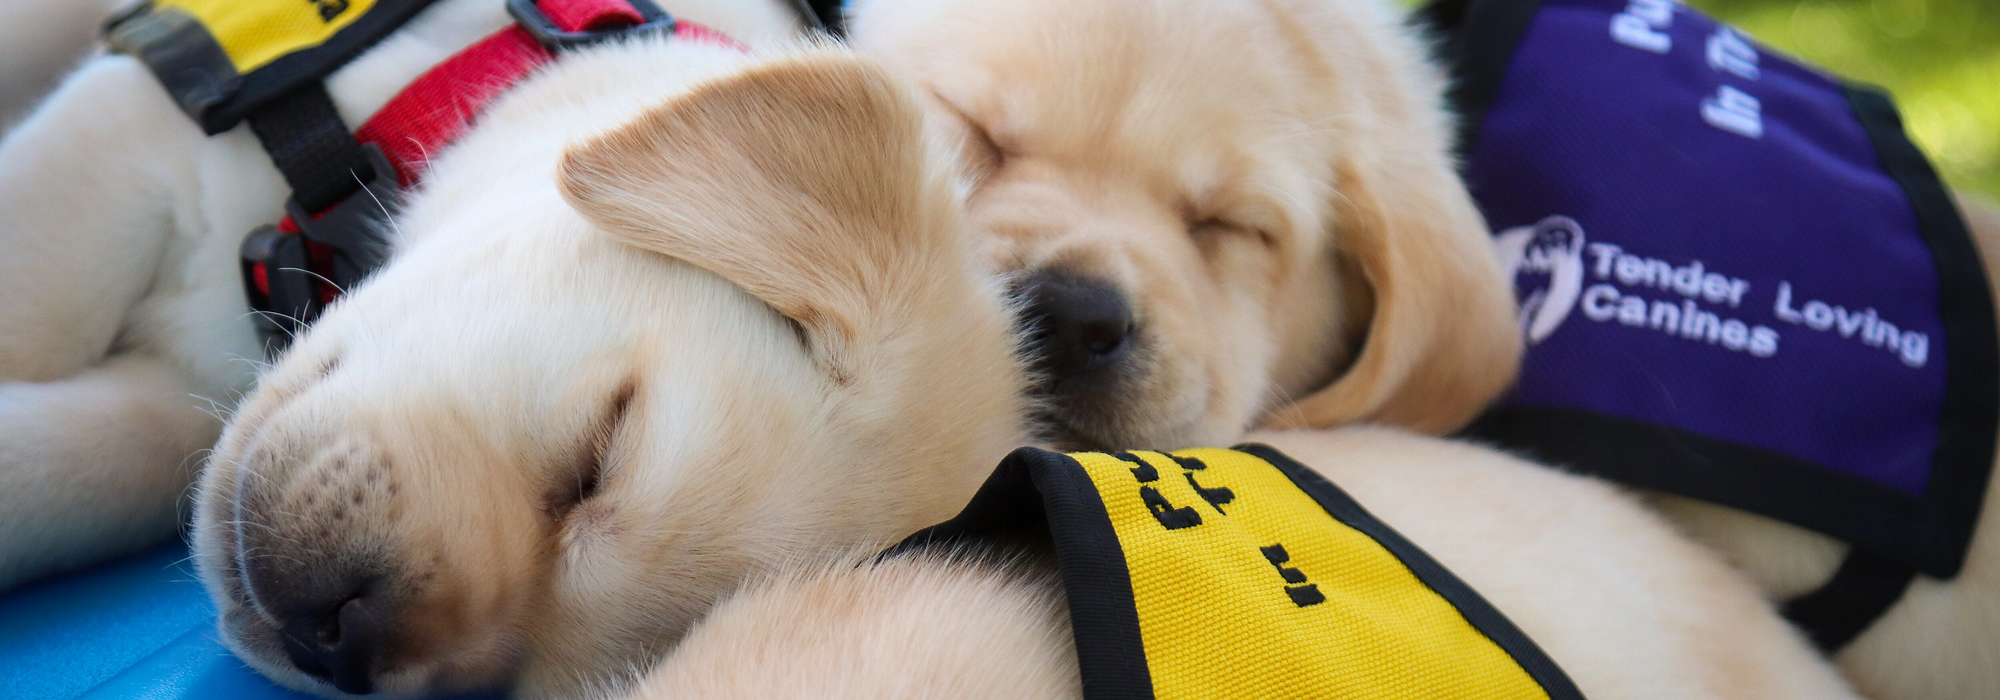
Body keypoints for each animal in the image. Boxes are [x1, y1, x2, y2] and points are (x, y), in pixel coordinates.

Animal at [0, 0, 804, 592]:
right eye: (603, 439)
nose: (339, 634)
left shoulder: (177, 397)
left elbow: (73, 461)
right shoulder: (121, 139)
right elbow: (38, 321)